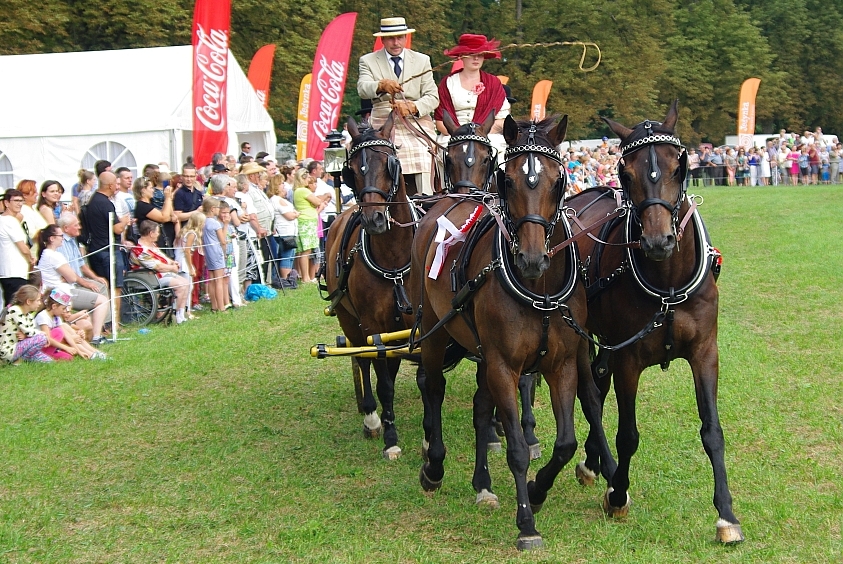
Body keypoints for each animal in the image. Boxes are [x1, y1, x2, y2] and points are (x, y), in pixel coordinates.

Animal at [322, 113, 418, 458]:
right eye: (352, 169)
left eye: (391, 163)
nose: (374, 220)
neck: (394, 258)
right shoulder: (373, 325)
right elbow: (383, 382)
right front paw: (390, 437)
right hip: (350, 321)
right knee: (362, 359)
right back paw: (371, 416)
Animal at [408, 115, 608, 552]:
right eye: (509, 179)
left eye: (557, 180)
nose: (531, 259)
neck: (539, 288)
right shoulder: (503, 365)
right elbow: (516, 447)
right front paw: (527, 522)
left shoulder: (561, 364)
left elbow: (565, 443)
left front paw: (537, 490)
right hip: (433, 330)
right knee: (432, 387)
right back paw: (434, 465)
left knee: (481, 407)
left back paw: (482, 483)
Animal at [572, 99, 740, 544]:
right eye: (625, 172)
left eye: (679, 167)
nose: (658, 241)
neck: (668, 282)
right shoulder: (629, 358)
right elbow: (628, 434)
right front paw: (618, 495)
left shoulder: (705, 354)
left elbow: (712, 431)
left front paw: (727, 515)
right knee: (590, 392)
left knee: (598, 381)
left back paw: (592, 462)